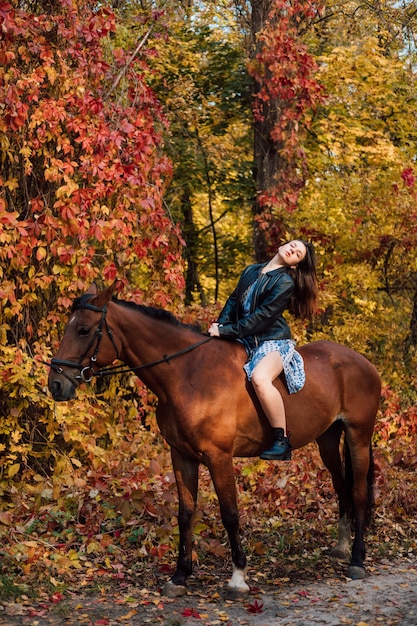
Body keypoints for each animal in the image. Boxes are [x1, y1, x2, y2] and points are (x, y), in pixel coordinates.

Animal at [47, 282, 378, 596]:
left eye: (84, 329)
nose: (56, 385)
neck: (187, 375)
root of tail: (362, 362)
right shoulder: (181, 456)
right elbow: (185, 514)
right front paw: (179, 577)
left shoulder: (219, 457)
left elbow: (229, 514)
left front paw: (238, 578)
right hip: (328, 440)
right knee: (341, 487)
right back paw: (342, 547)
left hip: (358, 436)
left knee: (359, 491)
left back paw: (357, 561)